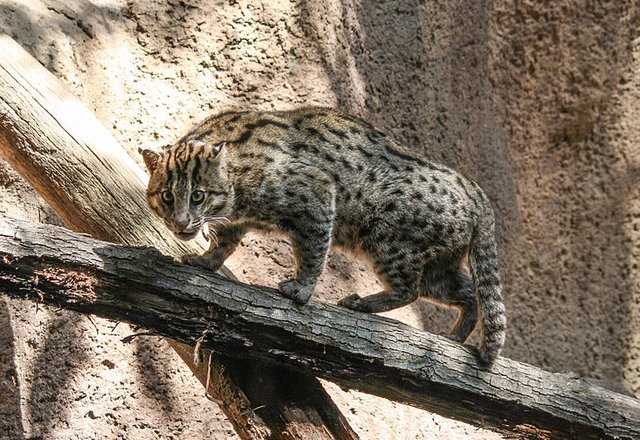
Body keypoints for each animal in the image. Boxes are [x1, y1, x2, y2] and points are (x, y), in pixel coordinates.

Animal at [142, 108, 508, 362]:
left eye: (197, 196)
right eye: (167, 196)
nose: (181, 223)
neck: (235, 180)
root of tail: (474, 189)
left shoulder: (316, 196)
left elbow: (313, 252)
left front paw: (301, 289)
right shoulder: (236, 221)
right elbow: (224, 244)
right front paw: (205, 262)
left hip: (388, 242)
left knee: (410, 290)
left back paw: (361, 303)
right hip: (438, 266)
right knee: (468, 294)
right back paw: (455, 336)